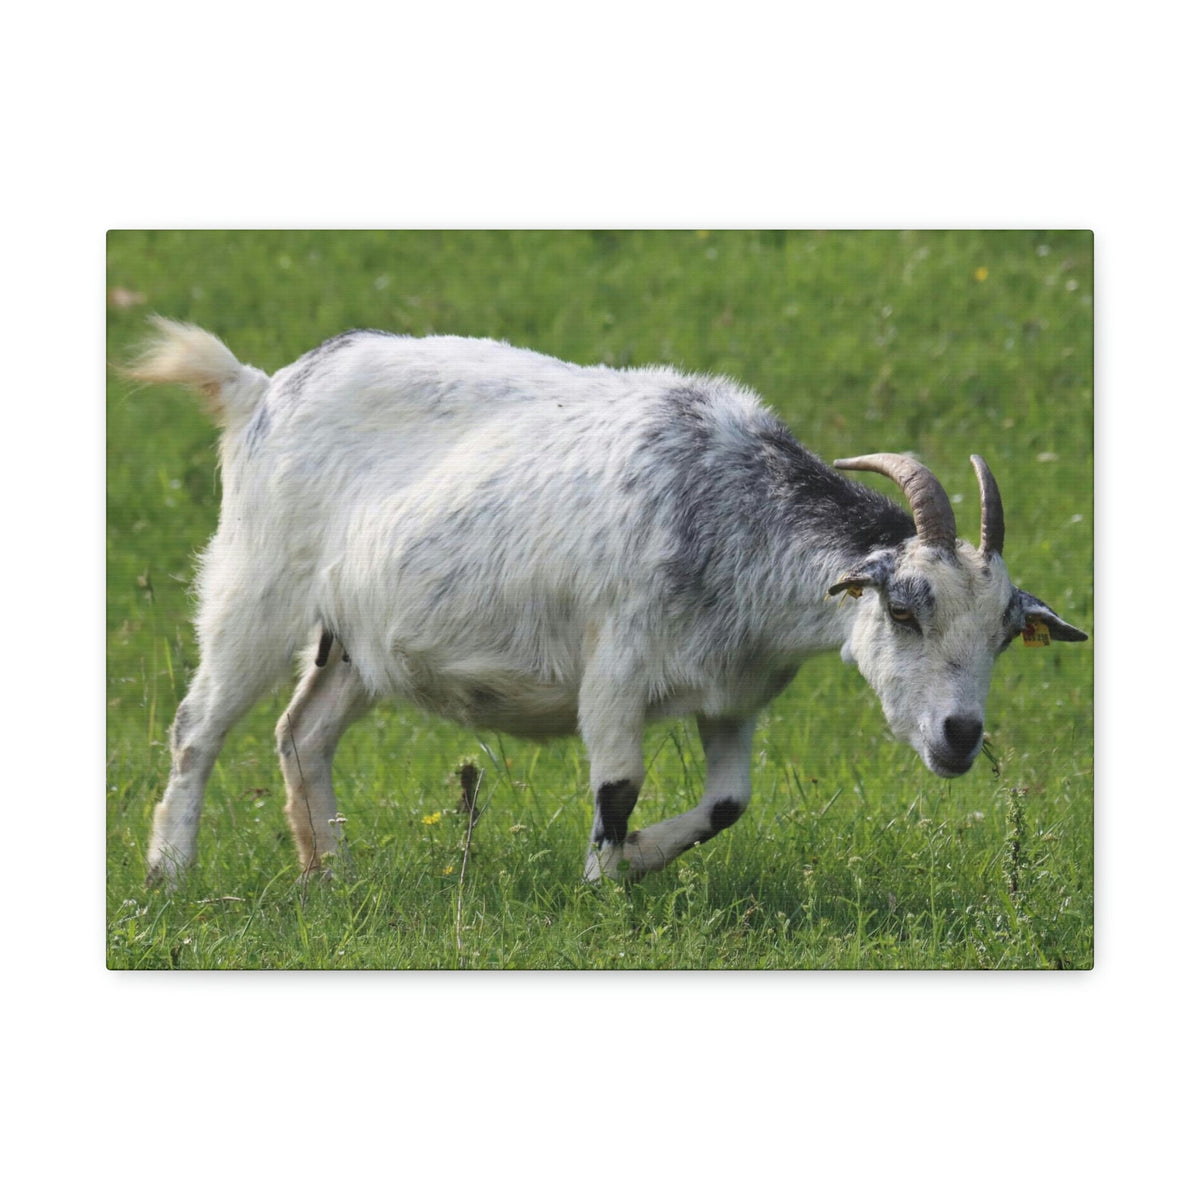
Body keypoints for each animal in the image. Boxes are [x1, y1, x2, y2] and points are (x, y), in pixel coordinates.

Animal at [127, 318, 1087, 885]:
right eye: (903, 610)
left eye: (1005, 636)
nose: (960, 736)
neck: (727, 508)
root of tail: (257, 388)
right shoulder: (616, 673)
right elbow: (617, 788)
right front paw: (603, 888)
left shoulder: (733, 697)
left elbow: (728, 803)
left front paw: (637, 861)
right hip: (256, 588)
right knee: (198, 728)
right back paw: (169, 875)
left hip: (357, 641)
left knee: (303, 733)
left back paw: (331, 874)